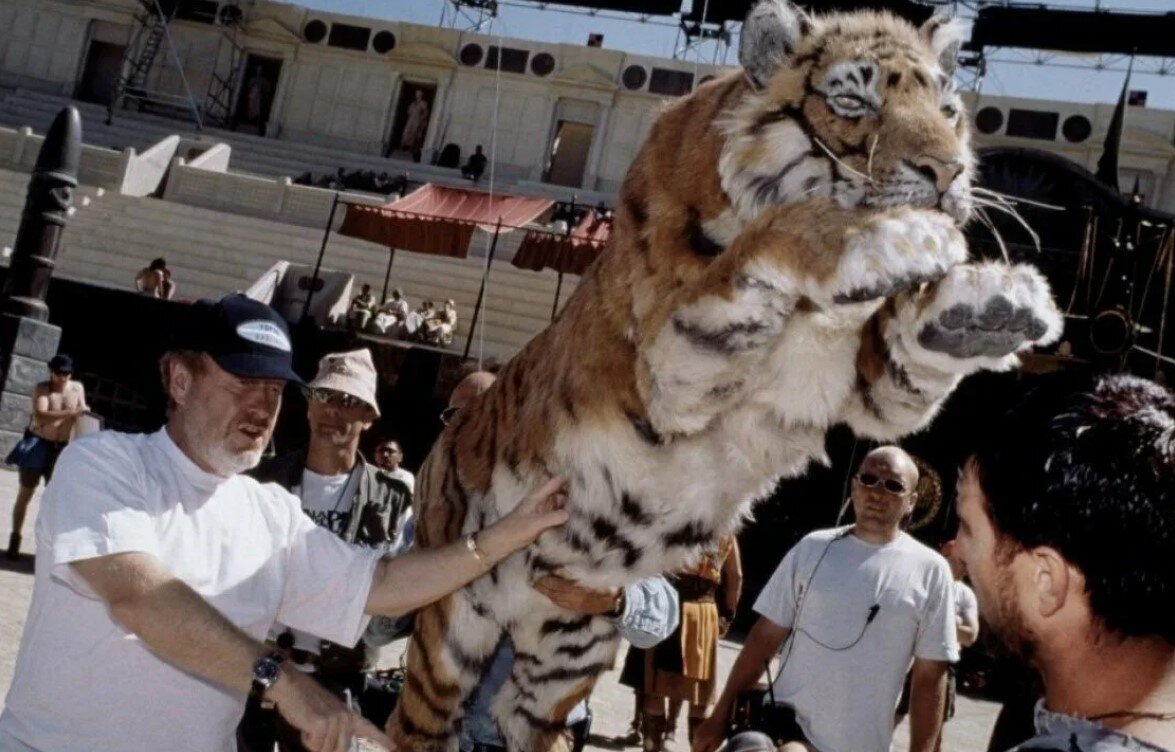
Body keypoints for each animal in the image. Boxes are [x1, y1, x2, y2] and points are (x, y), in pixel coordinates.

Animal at [390, 2, 1062, 747]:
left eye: (947, 110)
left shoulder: (876, 390)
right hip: (452, 633)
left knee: (527, 718)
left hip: (565, 655)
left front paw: (989, 305)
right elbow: (774, 240)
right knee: (413, 720)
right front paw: (898, 236)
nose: (947, 173)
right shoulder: (673, 363)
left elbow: (911, 351)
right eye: (853, 102)